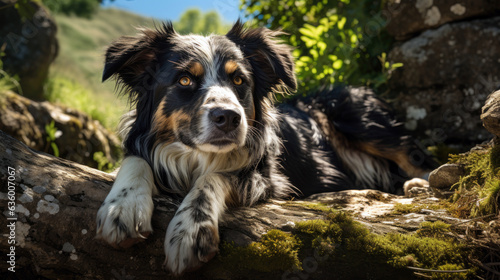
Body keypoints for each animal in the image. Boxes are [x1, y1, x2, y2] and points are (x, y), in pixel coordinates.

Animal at [95, 21, 436, 276]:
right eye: (184, 80)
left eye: (239, 80)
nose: (229, 117)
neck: (197, 156)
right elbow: (135, 161)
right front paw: (123, 207)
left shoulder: (268, 178)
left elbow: (213, 178)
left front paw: (192, 229)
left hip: (358, 117)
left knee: (416, 156)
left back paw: (423, 184)